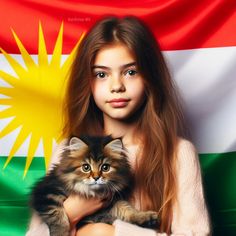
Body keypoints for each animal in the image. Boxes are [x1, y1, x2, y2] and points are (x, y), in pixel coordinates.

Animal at [29, 135, 159, 236]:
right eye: (86, 167)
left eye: (105, 167)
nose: (96, 177)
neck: (90, 193)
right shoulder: (46, 193)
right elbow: (58, 216)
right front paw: (61, 233)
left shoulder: (111, 203)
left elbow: (127, 209)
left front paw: (144, 217)